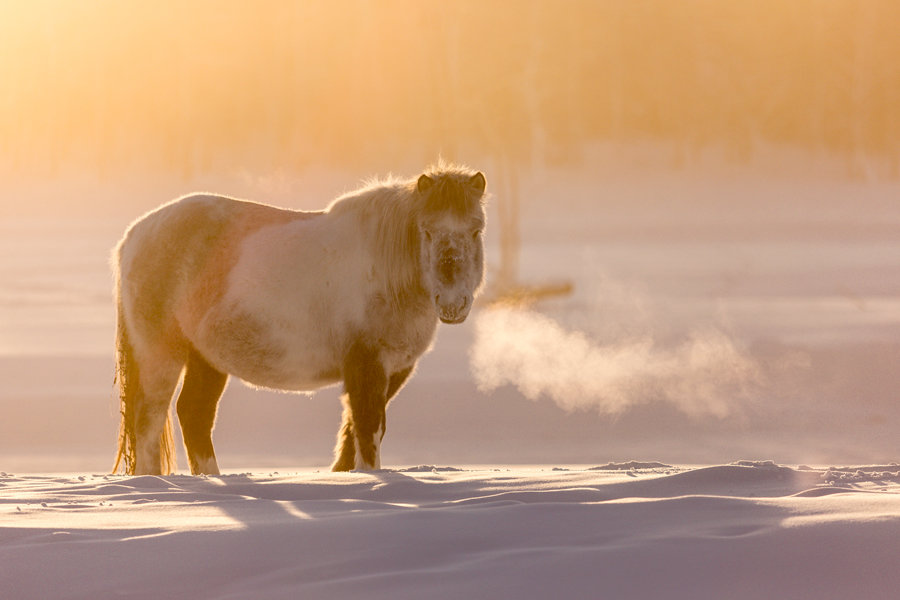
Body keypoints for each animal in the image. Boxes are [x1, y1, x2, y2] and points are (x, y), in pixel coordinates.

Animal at [114, 163, 492, 474]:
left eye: (476, 231)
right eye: (426, 231)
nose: (453, 304)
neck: (386, 271)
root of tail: (132, 236)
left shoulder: (394, 370)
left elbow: (356, 434)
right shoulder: (366, 365)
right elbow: (367, 430)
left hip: (206, 358)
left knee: (194, 414)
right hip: (161, 356)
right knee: (149, 422)